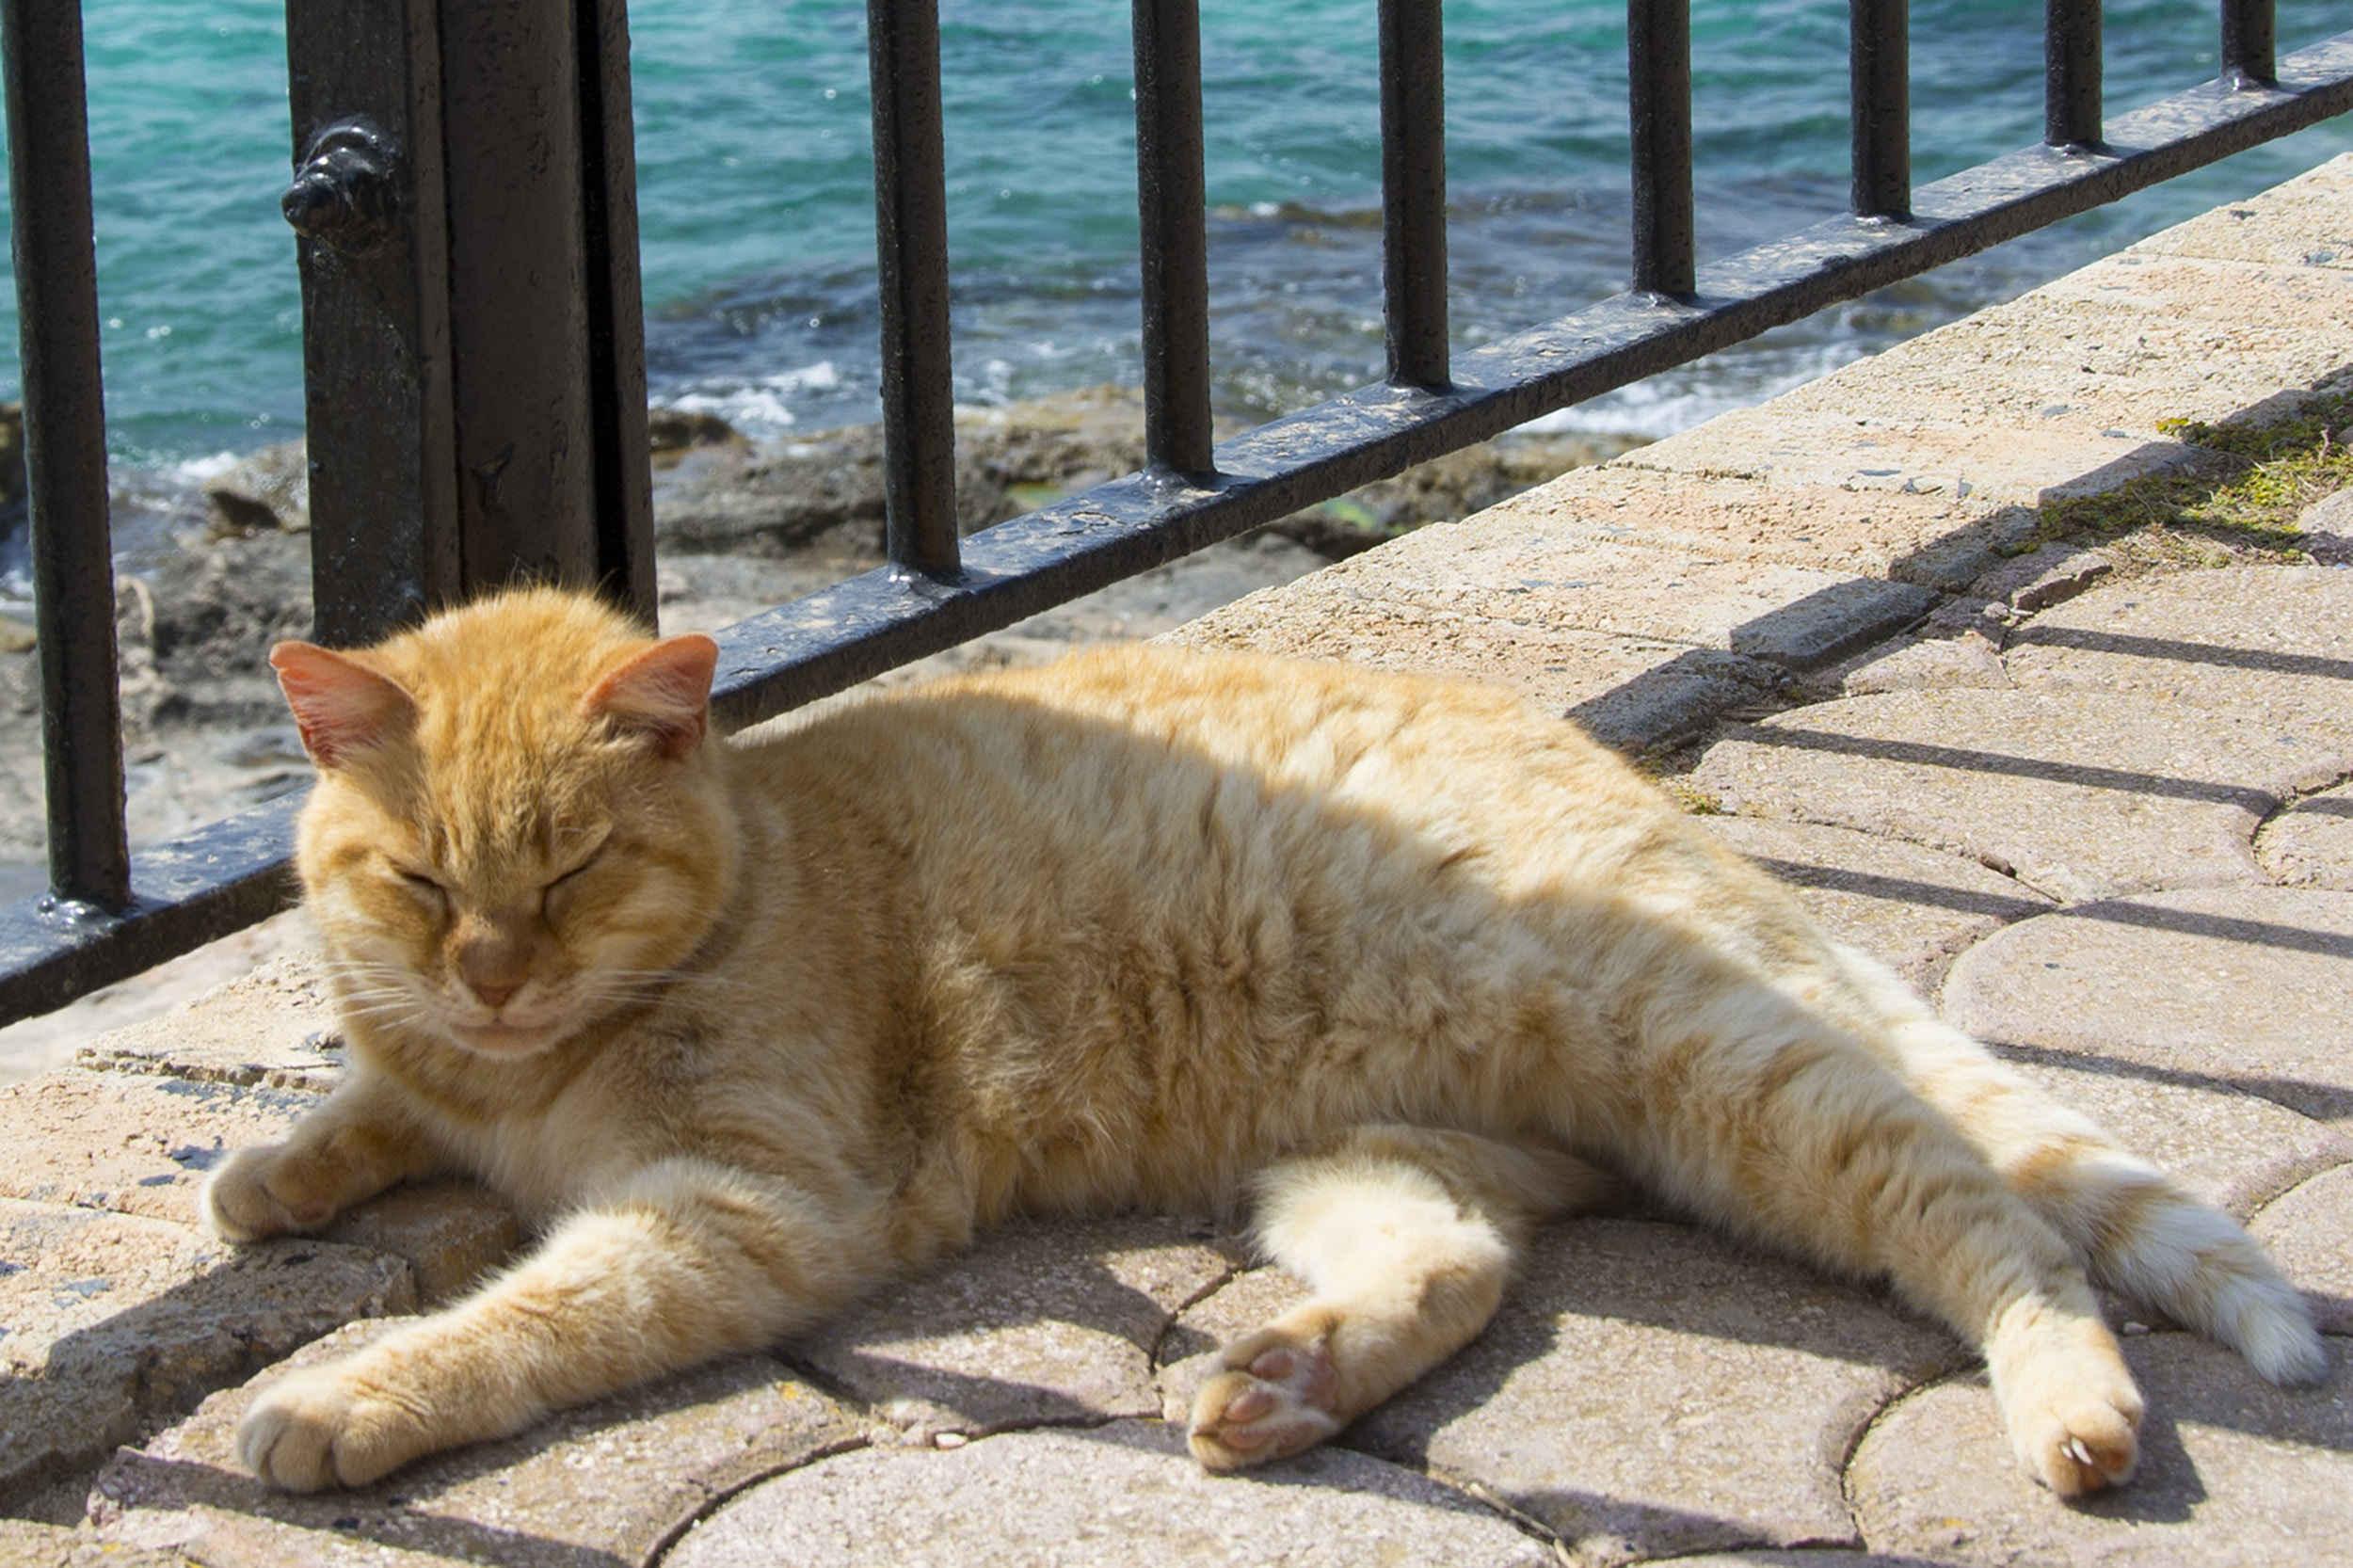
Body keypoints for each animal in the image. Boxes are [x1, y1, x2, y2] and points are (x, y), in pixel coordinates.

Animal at [207, 579, 2315, 1487]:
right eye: (422, 882)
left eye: (566, 874)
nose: (496, 973)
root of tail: (1637, 794)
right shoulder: (447, 1070)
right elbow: (368, 1104)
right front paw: (274, 1173)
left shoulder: (742, 1204)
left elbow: (528, 1314)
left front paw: (345, 1391)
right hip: (1374, 1151)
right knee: (1464, 1263)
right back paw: (1285, 1381)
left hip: (1721, 1068)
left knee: (1994, 1219)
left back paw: (2077, 1409)